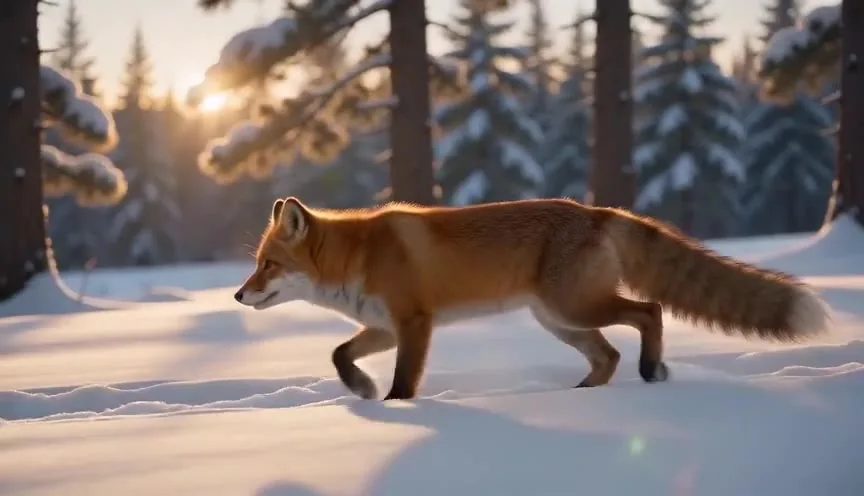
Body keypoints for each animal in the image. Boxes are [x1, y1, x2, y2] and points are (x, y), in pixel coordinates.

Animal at [233, 196, 831, 401]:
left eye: (267, 265)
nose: (238, 294)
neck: (356, 260)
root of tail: (597, 211)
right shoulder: (384, 325)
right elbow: (339, 354)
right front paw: (360, 389)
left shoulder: (414, 324)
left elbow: (405, 383)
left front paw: (392, 405)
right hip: (560, 321)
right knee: (608, 354)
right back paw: (582, 394)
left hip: (574, 309)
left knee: (650, 313)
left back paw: (652, 370)